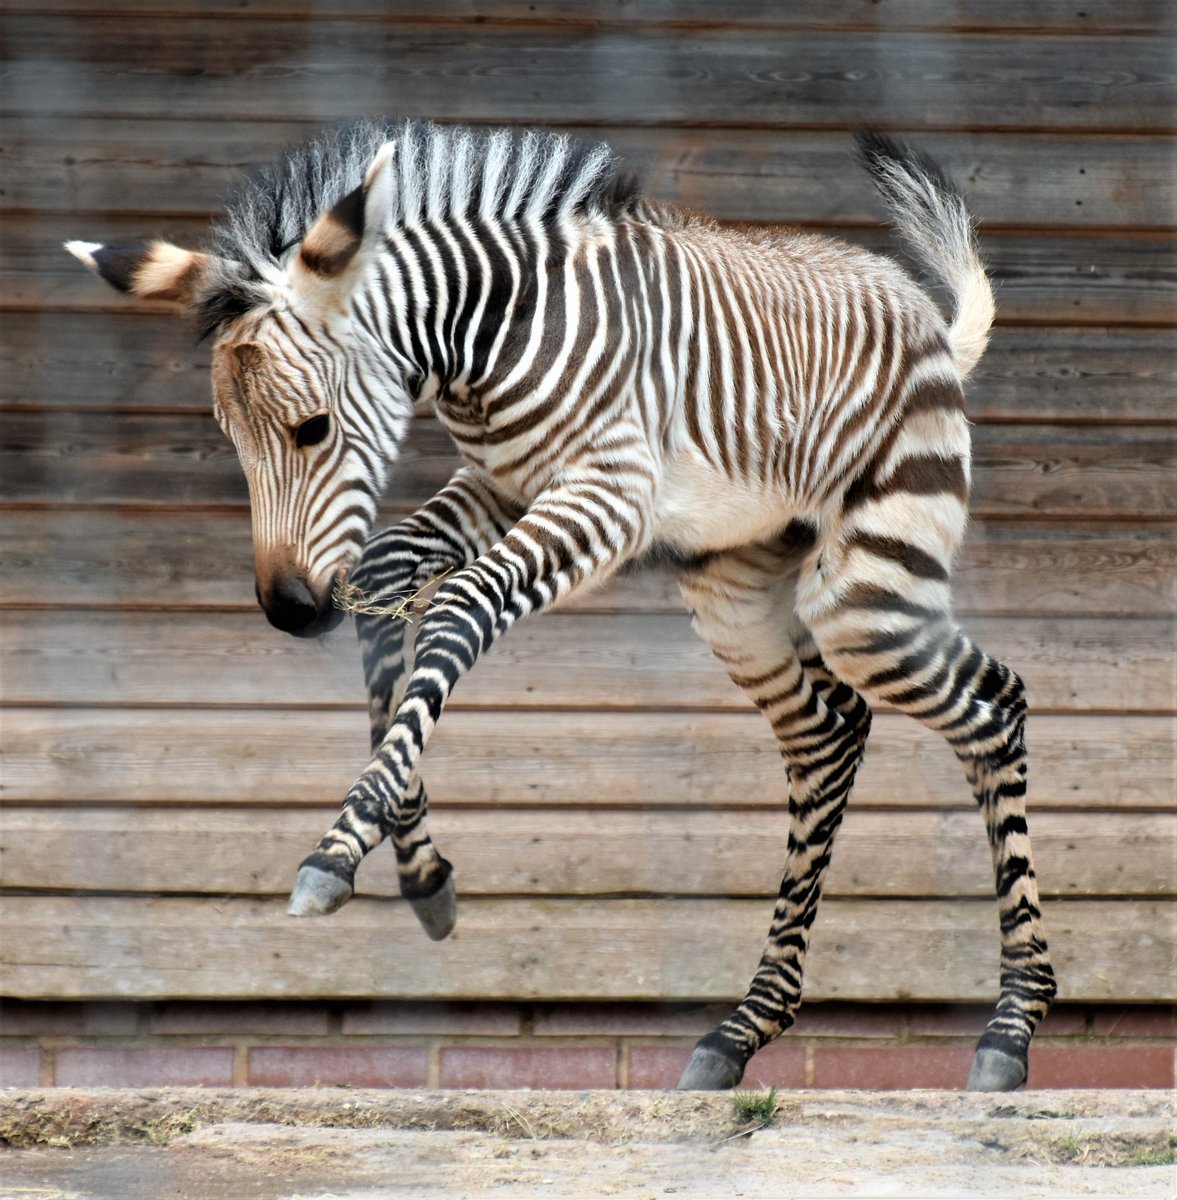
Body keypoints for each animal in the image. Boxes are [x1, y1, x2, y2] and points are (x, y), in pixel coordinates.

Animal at [67, 119, 1056, 1092]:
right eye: (231, 439)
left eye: (311, 429)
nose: (289, 611)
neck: (491, 339)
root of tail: (928, 321)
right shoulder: (501, 487)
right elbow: (385, 579)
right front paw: (419, 870)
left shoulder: (606, 494)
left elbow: (459, 607)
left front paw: (337, 849)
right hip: (739, 590)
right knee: (829, 734)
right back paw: (743, 1029)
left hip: (866, 591)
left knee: (992, 705)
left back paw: (1010, 1029)